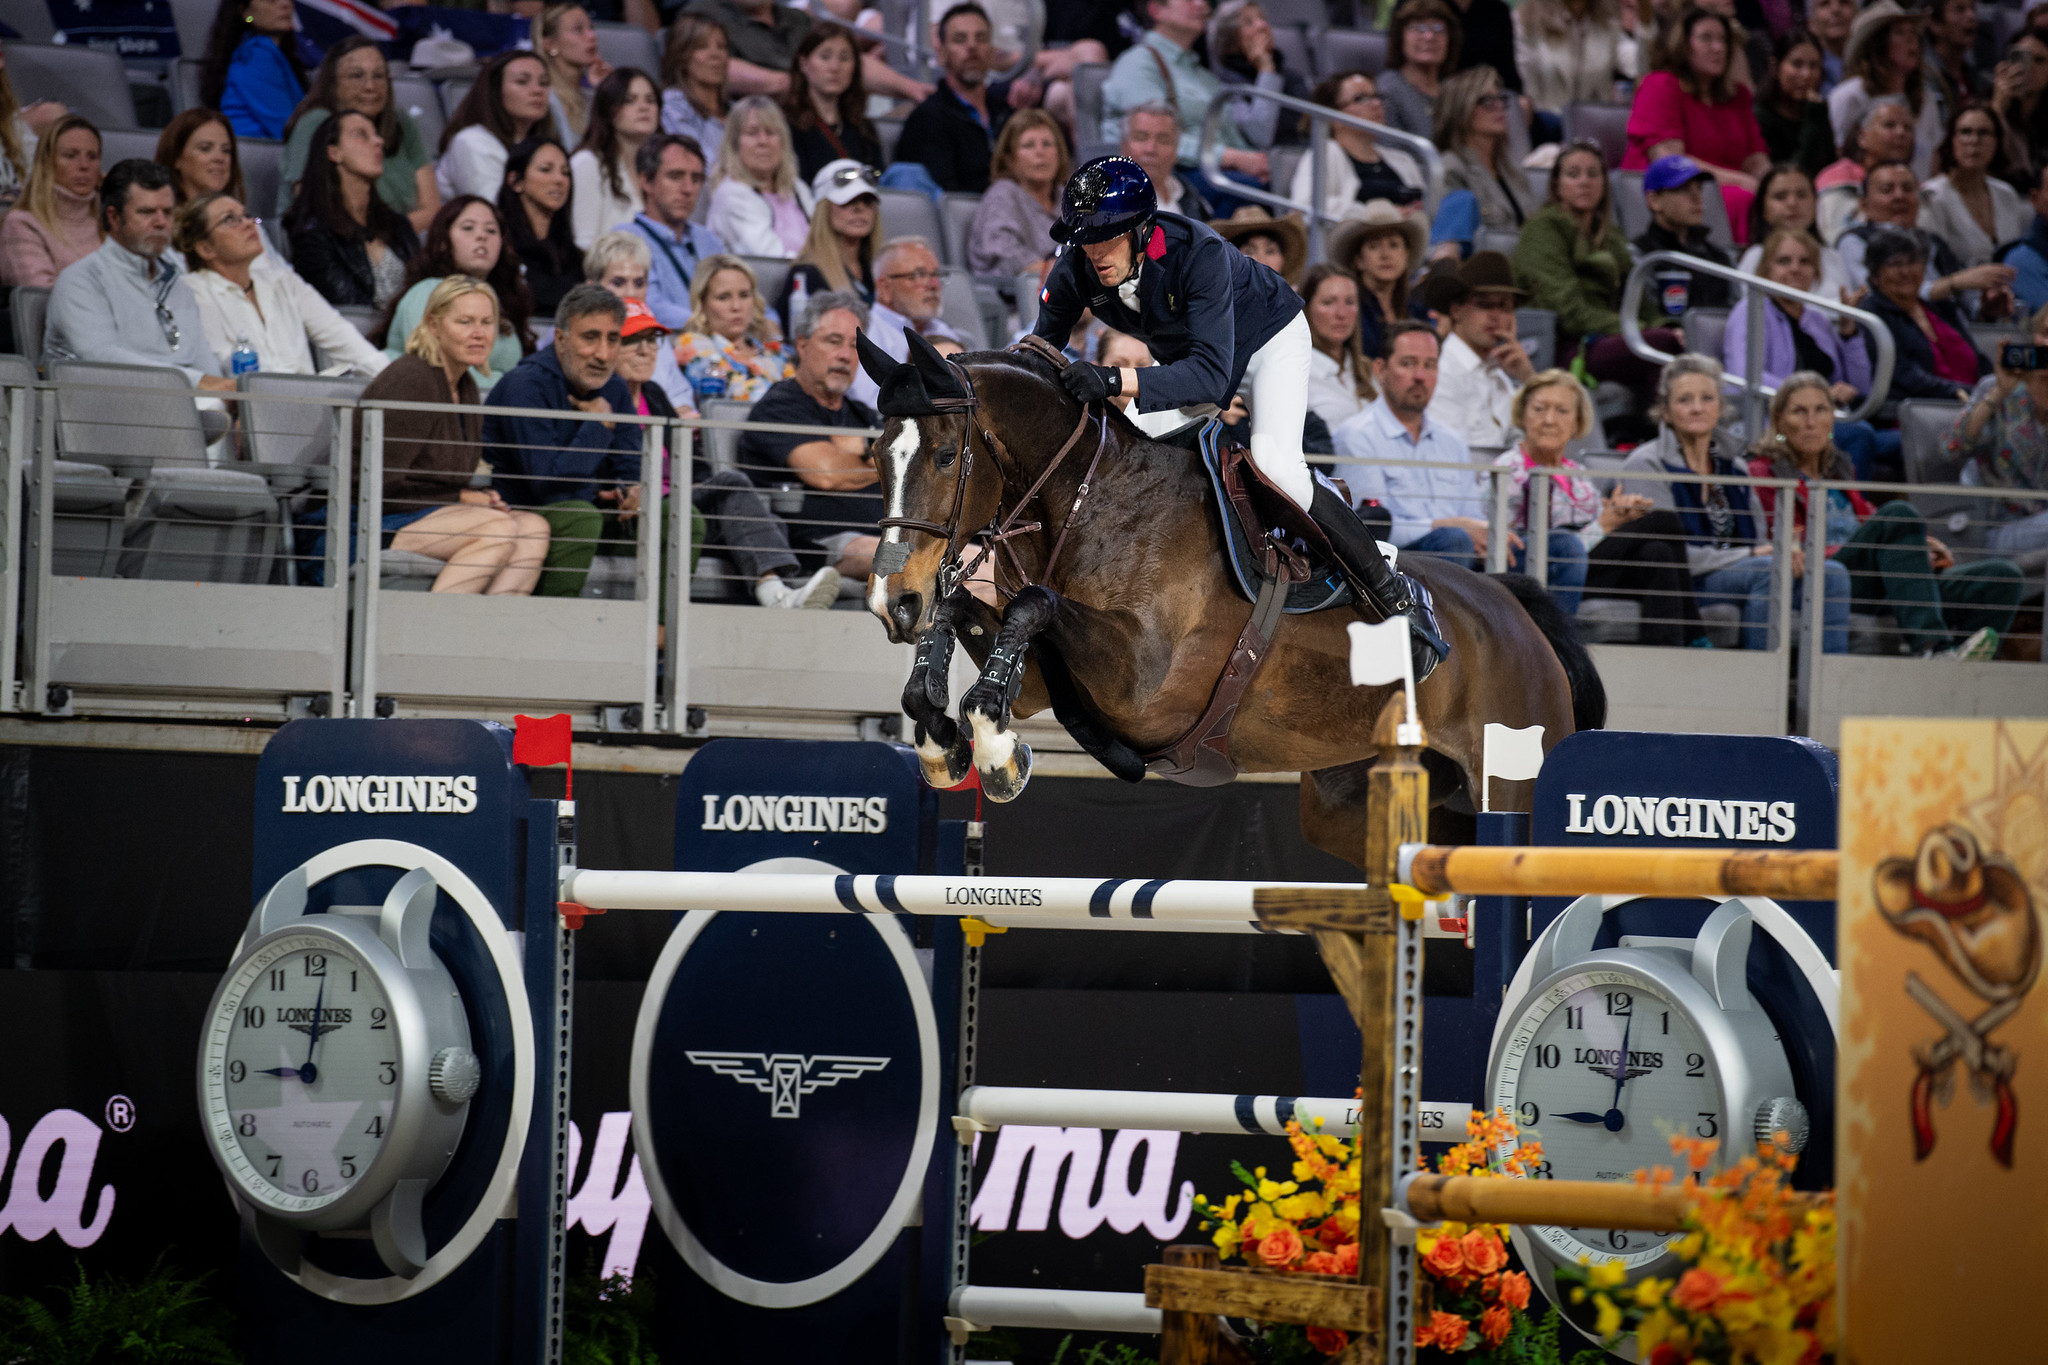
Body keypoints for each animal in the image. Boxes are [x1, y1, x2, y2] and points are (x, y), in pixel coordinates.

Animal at [854, 329, 1605, 862]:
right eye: (876, 457)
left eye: (944, 457)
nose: (893, 602)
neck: (1091, 501)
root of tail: (1514, 608)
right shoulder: (1043, 681)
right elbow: (975, 616)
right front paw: (944, 738)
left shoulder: (1142, 684)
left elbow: (1032, 604)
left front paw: (993, 750)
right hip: (1359, 802)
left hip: (1512, 781)